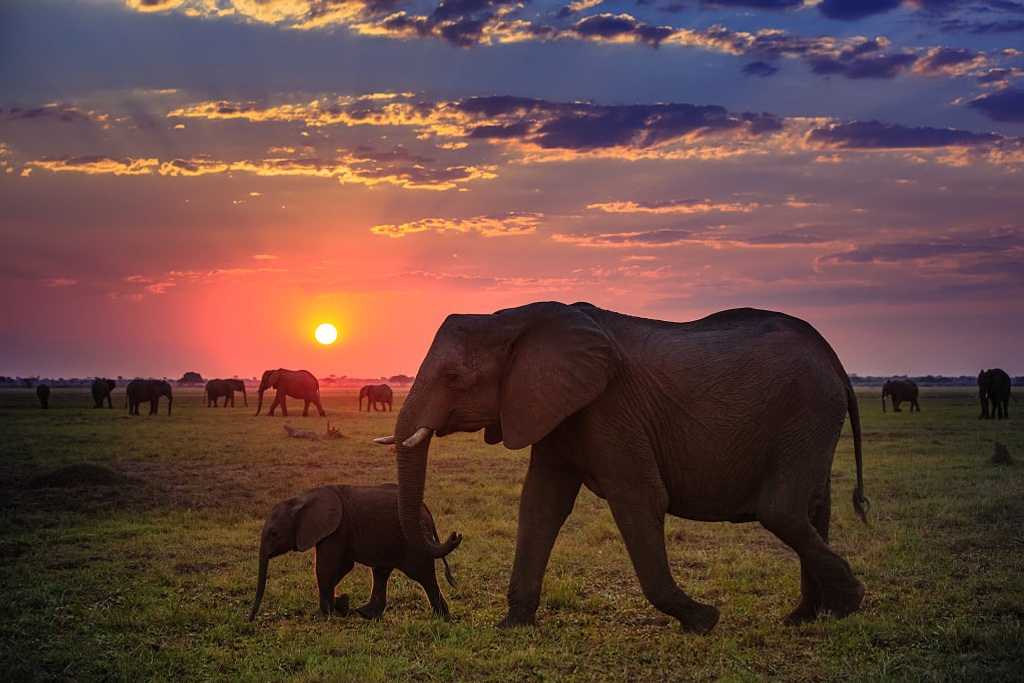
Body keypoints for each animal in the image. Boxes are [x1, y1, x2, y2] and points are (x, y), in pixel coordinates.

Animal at [247, 483, 460, 622]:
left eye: (274, 534)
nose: (250, 619)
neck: (301, 499)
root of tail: (426, 510)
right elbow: (341, 567)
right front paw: (340, 604)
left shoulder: (336, 530)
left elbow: (326, 568)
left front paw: (326, 613)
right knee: (381, 573)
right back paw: (365, 614)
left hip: (413, 542)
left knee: (422, 574)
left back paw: (442, 617)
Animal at [372, 305, 868, 634]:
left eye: (455, 378)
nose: (453, 535)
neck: (513, 317)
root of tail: (834, 358)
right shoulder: (555, 409)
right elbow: (540, 505)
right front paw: (511, 625)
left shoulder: (610, 408)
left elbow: (639, 497)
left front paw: (703, 620)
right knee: (812, 508)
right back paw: (805, 616)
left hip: (806, 411)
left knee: (781, 510)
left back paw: (848, 605)